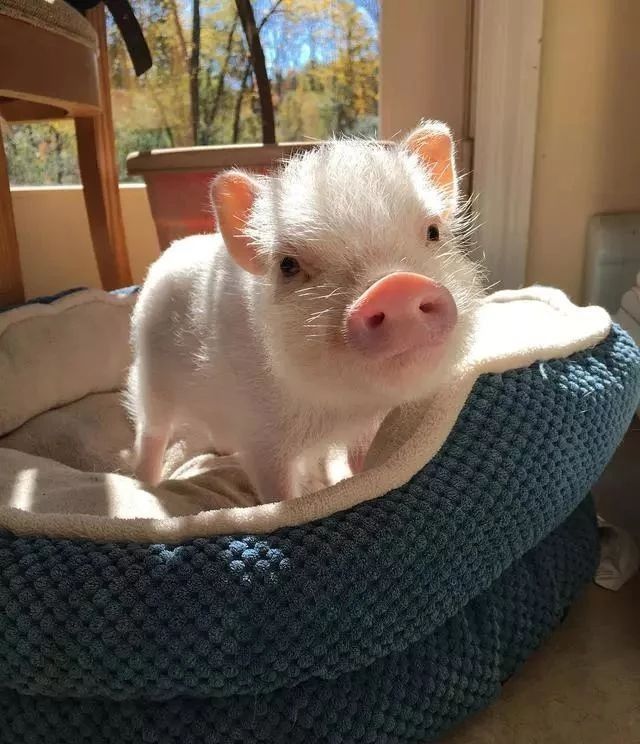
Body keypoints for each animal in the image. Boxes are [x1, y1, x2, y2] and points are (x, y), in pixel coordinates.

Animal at [127, 122, 482, 502]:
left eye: (433, 232)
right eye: (288, 265)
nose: (396, 285)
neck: (339, 411)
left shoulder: (366, 426)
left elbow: (361, 463)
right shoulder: (262, 436)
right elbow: (280, 494)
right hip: (150, 380)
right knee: (151, 433)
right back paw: (144, 484)